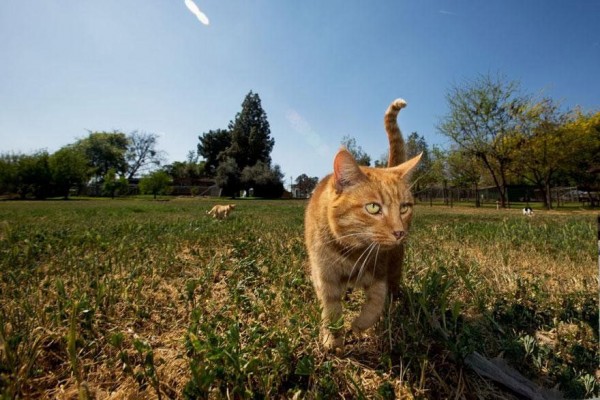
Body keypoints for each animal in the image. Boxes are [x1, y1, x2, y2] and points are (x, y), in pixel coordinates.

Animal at [304, 99, 422, 350]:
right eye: (374, 208)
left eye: (404, 208)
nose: (399, 232)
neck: (352, 252)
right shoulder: (324, 276)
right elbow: (331, 309)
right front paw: (332, 339)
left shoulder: (379, 273)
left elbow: (376, 303)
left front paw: (359, 325)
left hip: (396, 265)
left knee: (393, 291)